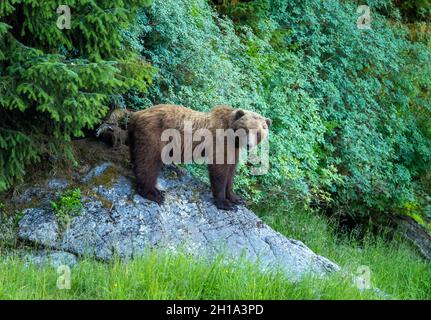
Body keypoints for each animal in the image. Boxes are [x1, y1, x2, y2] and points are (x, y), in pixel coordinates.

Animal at [126, 104, 272, 211]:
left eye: (258, 132)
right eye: (246, 129)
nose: (248, 145)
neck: (232, 137)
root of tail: (136, 115)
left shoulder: (233, 150)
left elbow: (231, 173)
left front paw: (236, 198)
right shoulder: (219, 141)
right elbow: (219, 171)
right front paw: (225, 203)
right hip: (154, 135)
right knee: (148, 162)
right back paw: (154, 193)